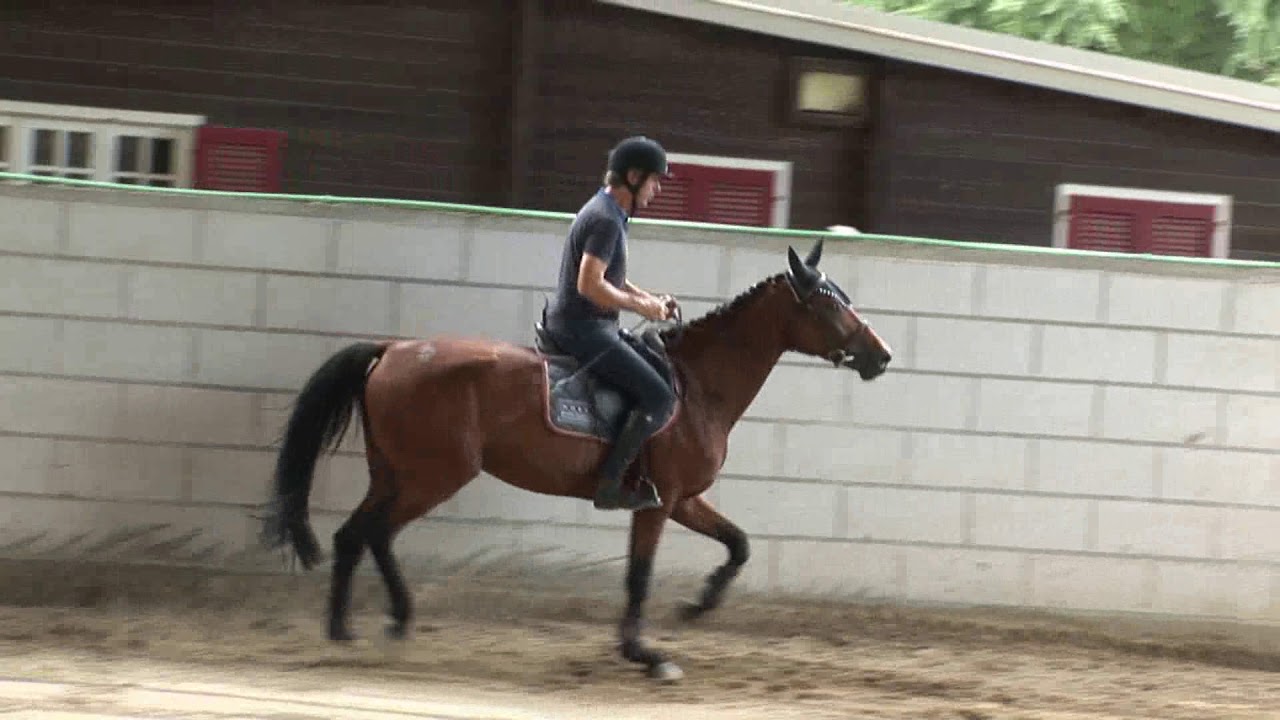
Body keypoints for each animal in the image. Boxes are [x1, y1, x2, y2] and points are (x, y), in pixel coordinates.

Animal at [261, 237, 892, 681]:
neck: (696, 388)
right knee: (371, 533)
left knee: (357, 535)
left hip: (395, 473)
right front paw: (645, 654)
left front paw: (698, 605)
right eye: (830, 306)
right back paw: (371, 623)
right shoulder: (657, 503)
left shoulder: (683, 499)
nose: (881, 356)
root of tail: (392, 350)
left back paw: (363, 625)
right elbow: (639, 575)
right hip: (432, 476)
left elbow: (738, 544)